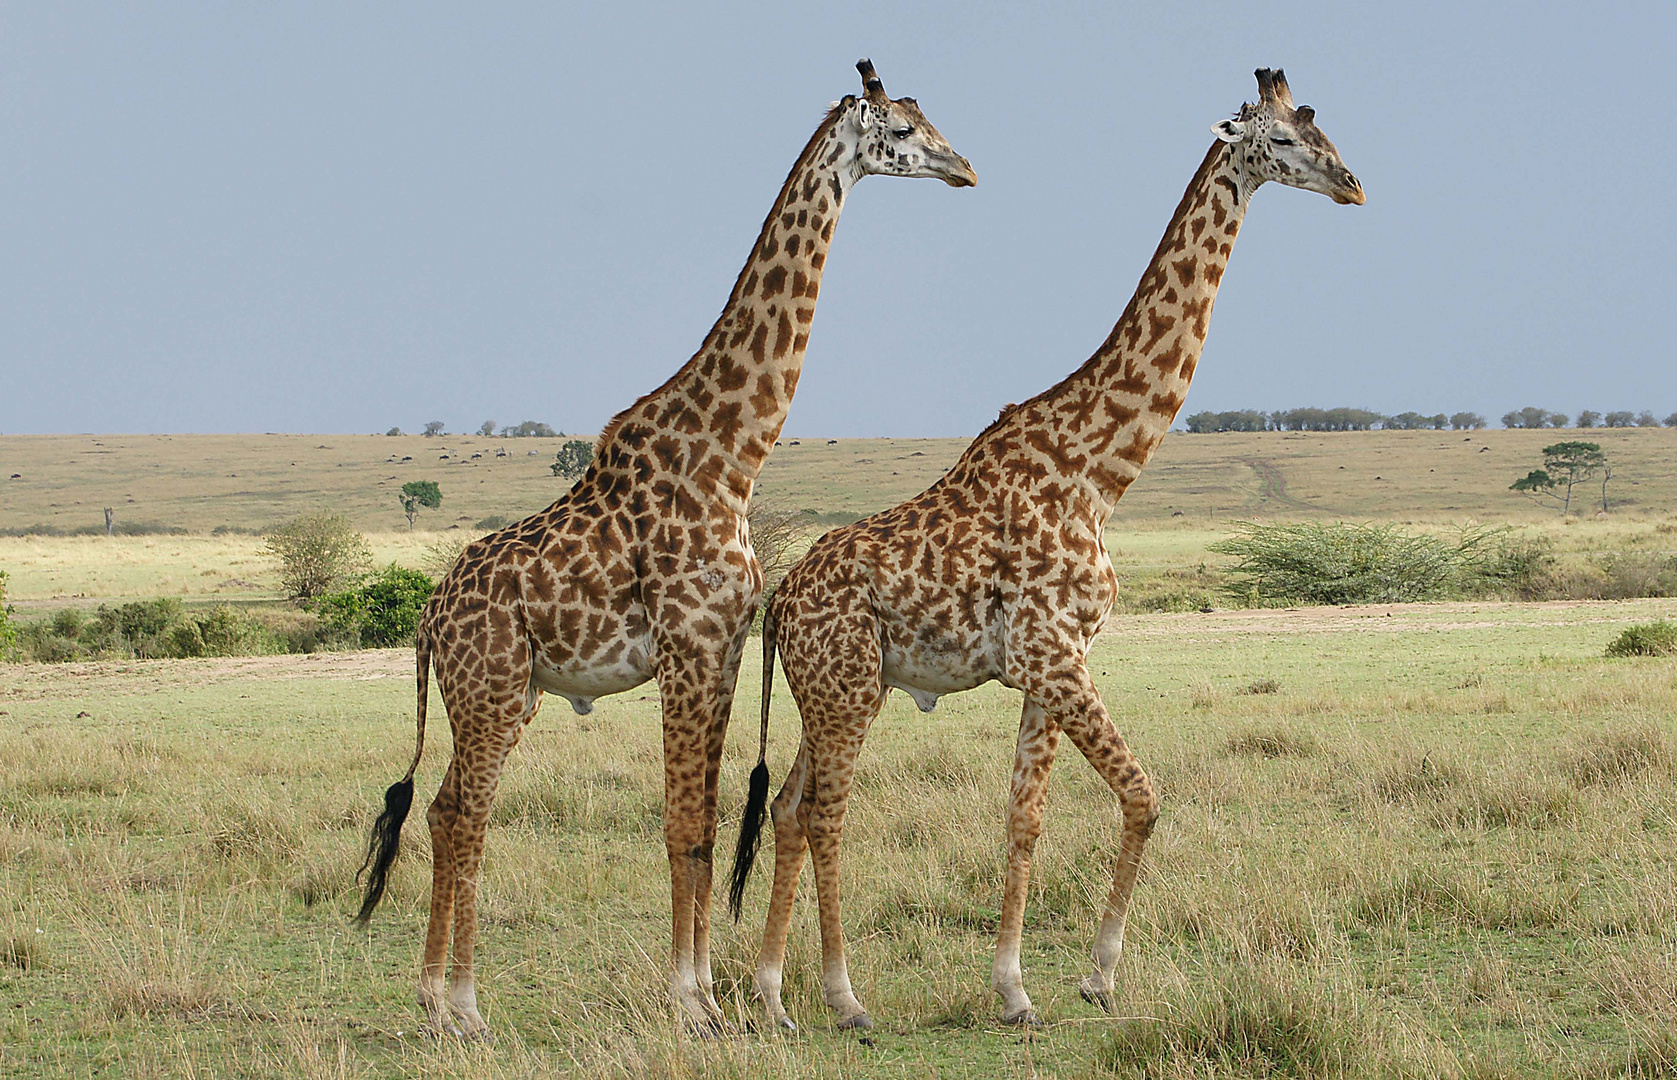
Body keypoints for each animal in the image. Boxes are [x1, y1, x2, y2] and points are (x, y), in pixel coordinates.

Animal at [355, 61, 979, 1039]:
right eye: (905, 130)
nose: (965, 169)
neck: (732, 457)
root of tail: (427, 617)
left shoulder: (721, 646)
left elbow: (710, 824)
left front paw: (711, 995)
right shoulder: (686, 645)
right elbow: (681, 825)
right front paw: (693, 1005)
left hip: (507, 693)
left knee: (452, 807)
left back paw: (440, 1000)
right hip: (487, 687)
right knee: (464, 811)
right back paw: (458, 1006)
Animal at [731, 67, 1361, 1026]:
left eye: (1320, 127)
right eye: (1285, 141)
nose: (1353, 185)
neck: (1099, 470)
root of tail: (780, 602)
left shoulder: (1047, 666)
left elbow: (1023, 817)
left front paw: (1013, 990)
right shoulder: (1056, 655)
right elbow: (1143, 796)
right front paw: (1098, 975)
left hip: (833, 690)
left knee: (792, 806)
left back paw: (773, 994)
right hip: (846, 689)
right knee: (828, 809)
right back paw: (842, 998)